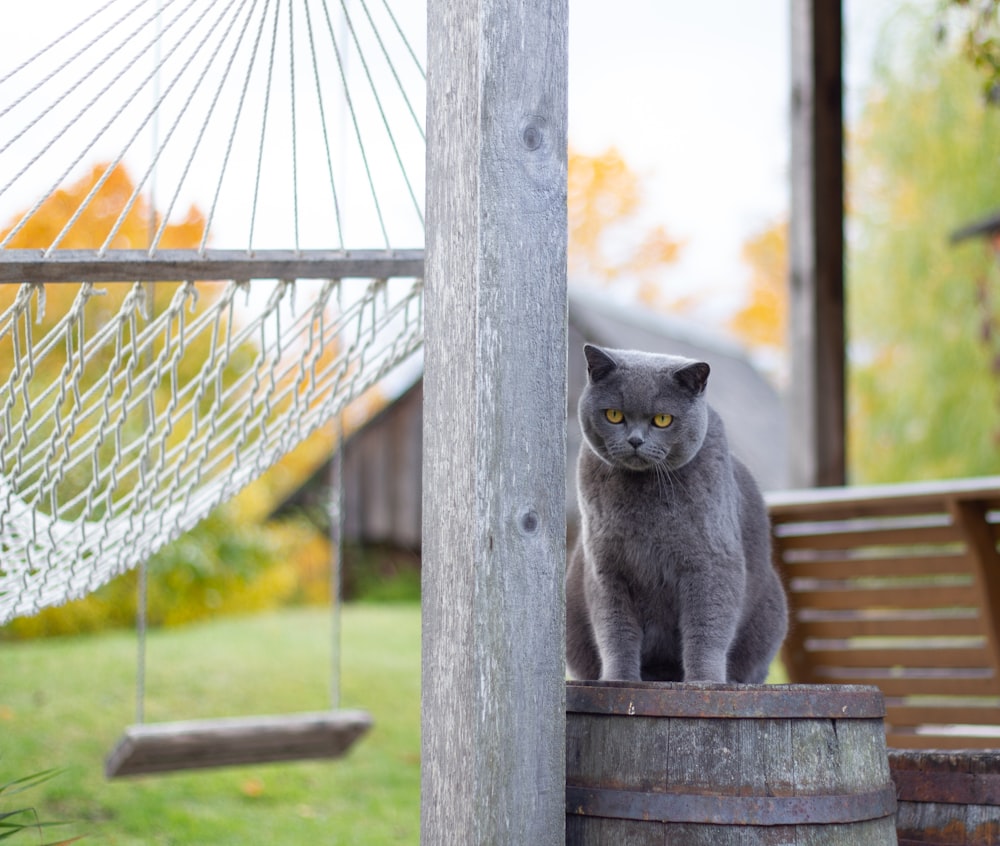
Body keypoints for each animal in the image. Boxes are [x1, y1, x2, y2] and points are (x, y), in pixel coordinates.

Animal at [568, 344, 784, 684]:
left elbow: (707, 627)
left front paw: (705, 682)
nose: (635, 440)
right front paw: (619, 679)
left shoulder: (712, 562)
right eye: (614, 415)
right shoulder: (606, 568)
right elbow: (615, 629)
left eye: (662, 419)